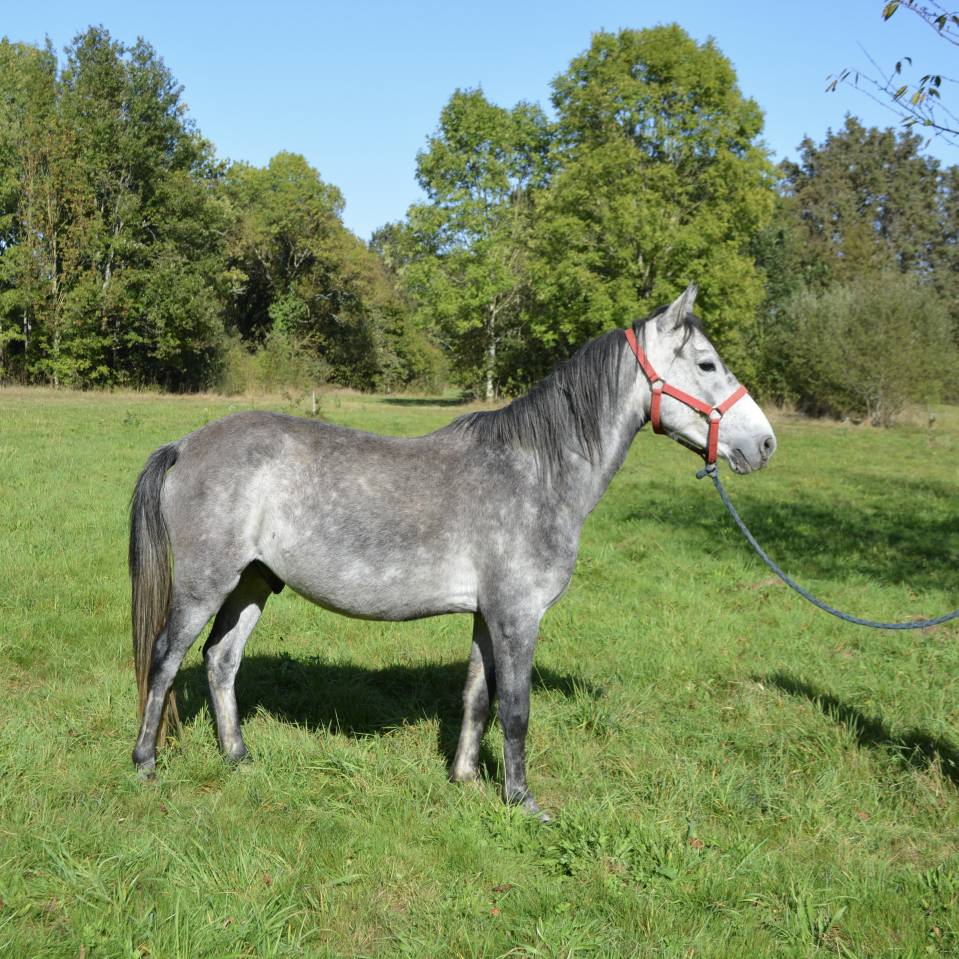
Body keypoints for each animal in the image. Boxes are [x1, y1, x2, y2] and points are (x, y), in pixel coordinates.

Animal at [129, 284, 776, 819]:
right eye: (707, 364)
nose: (765, 444)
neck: (535, 472)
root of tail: (186, 444)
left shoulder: (488, 616)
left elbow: (476, 697)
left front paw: (466, 779)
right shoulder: (518, 616)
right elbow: (515, 708)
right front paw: (522, 802)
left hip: (253, 582)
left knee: (221, 660)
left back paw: (239, 757)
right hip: (204, 586)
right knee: (165, 658)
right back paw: (146, 764)